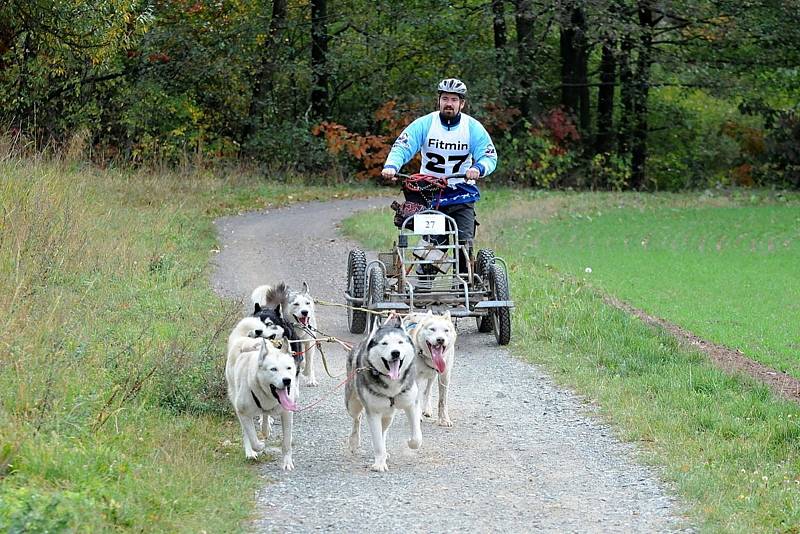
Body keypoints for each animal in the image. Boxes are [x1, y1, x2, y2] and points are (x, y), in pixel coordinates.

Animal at [342, 318, 418, 474]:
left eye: (400, 342)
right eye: (384, 343)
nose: (395, 353)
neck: (392, 385)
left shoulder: (410, 404)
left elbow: (416, 437)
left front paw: (410, 442)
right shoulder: (373, 412)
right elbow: (377, 442)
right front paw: (379, 463)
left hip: (388, 415)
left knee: (384, 430)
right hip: (352, 404)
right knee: (357, 419)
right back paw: (354, 442)